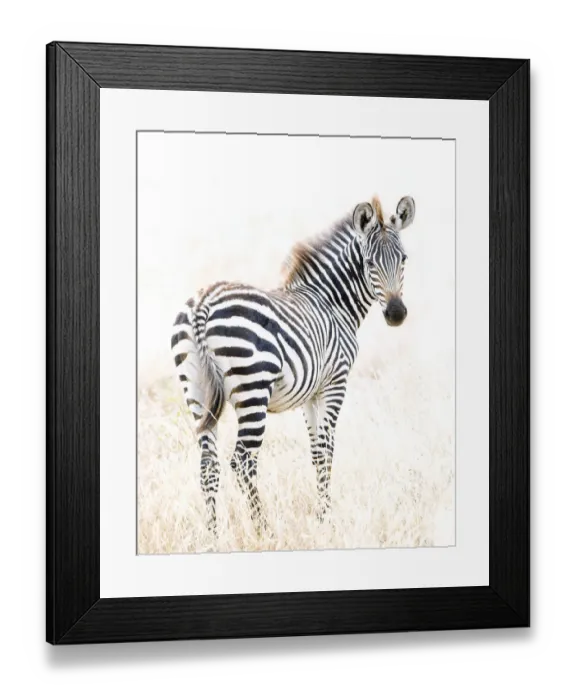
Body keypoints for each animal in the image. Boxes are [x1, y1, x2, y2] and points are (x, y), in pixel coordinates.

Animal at [171, 195, 416, 537]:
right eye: (369, 264)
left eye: (404, 259)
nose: (396, 314)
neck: (331, 302)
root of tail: (203, 303)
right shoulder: (335, 382)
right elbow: (327, 448)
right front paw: (326, 517)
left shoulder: (310, 393)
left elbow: (315, 450)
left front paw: (321, 513)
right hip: (253, 388)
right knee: (243, 460)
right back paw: (263, 529)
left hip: (195, 390)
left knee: (208, 463)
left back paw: (213, 534)